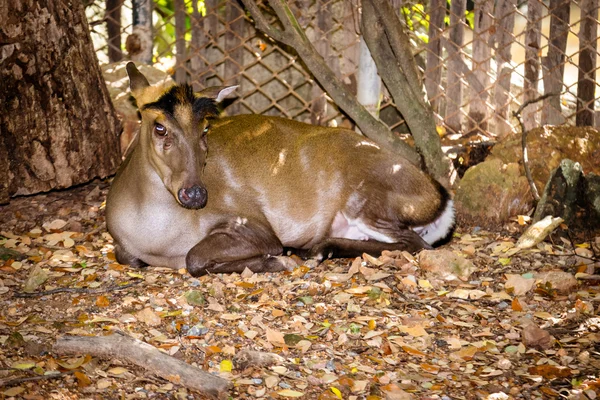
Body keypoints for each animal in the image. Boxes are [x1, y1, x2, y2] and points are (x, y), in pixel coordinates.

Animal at [105, 62, 452, 276]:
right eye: (159, 127)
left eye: (204, 129)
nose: (196, 194)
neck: (158, 239)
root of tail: (441, 197)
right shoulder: (123, 245)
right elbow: (128, 257)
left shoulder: (250, 220)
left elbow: (194, 257)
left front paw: (274, 261)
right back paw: (317, 248)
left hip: (369, 198)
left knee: (415, 243)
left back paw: (313, 249)